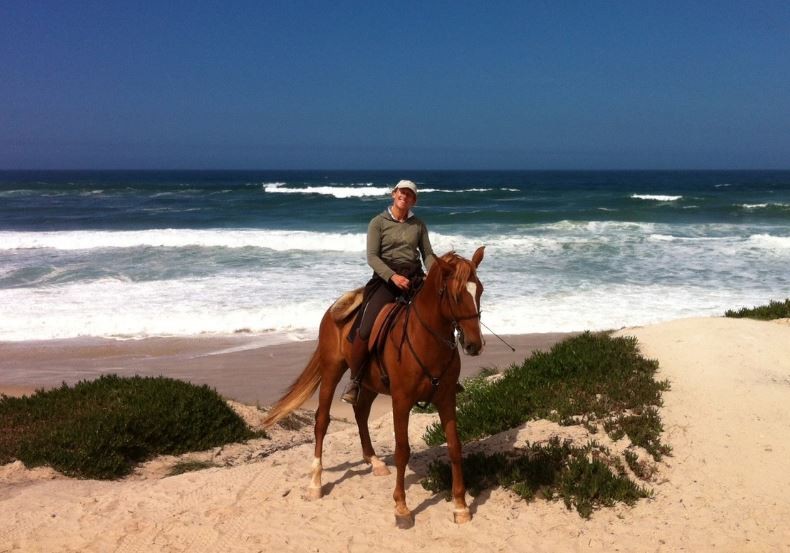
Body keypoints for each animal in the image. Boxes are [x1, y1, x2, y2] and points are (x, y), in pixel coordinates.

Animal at [262, 248, 486, 528]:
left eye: (480, 290)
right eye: (456, 295)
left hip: (368, 382)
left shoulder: (446, 400)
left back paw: (374, 461)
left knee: (360, 412)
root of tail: (333, 309)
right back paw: (315, 483)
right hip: (331, 371)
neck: (426, 340)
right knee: (322, 421)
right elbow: (402, 451)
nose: (474, 345)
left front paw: (460, 506)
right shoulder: (401, 401)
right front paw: (401, 508)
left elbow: (455, 447)